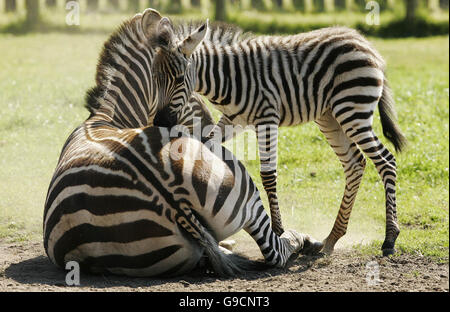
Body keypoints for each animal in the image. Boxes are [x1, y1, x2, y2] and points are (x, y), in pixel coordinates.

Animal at [43, 9, 320, 278]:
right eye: (191, 89)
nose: (209, 124)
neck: (107, 119)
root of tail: (171, 196)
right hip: (243, 188)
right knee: (275, 251)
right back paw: (307, 240)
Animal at [173, 22, 408, 256]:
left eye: (177, 81)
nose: (166, 119)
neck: (228, 76)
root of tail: (364, 42)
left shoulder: (267, 116)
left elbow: (268, 175)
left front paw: (278, 230)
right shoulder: (234, 120)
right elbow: (206, 147)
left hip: (352, 108)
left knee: (386, 161)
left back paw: (389, 238)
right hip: (330, 116)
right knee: (355, 163)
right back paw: (332, 237)